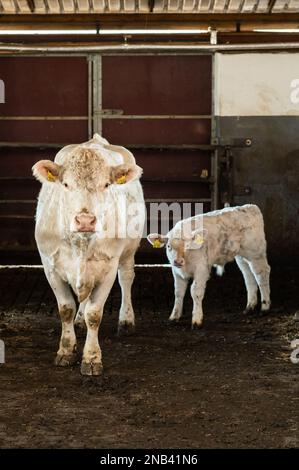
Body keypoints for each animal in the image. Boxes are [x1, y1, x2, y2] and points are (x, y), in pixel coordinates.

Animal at [32, 134, 145, 376]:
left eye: (106, 184)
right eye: (66, 184)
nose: (85, 220)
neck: (80, 244)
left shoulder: (108, 266)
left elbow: (94, 314)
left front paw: (92, 358)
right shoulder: (50, 265)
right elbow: (66, 309)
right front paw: (66, 350)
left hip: (128, 252)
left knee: (126, 279)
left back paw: (126, 320)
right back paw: (79, 320)